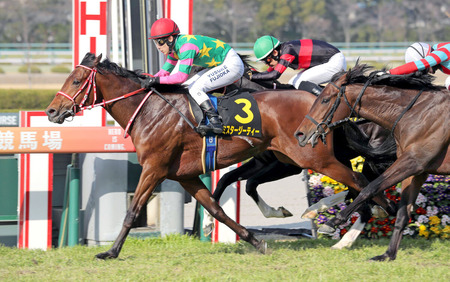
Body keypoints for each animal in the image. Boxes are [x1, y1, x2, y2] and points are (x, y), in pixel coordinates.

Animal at [46, 53, 394, 260]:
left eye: (76, 80)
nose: (52, 111)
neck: (150, 111)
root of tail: (319, 99)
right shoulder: (185, 175)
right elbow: (217, 209)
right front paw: (255, 241)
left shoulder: (154, 168)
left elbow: (132, 211)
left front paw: (111, 252)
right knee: (359, 180)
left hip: (311, 159)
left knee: (359, 179)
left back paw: (370, 215)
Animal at [298, 63, 448, 260]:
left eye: (324, 100)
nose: (300, 133)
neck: (417, 113)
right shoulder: (416, 169)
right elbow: (401, 212)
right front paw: (388, 255)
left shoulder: (413, 162)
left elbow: (370, 188)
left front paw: (332, 222)